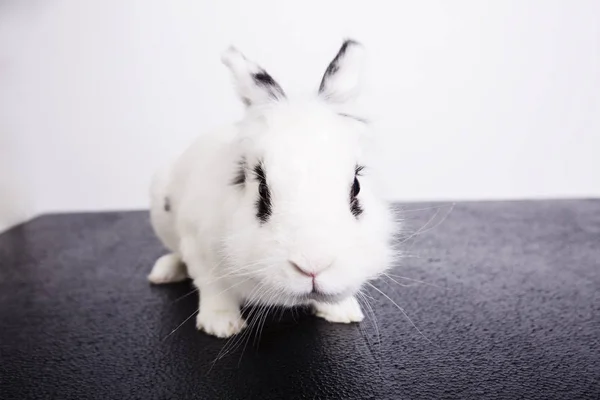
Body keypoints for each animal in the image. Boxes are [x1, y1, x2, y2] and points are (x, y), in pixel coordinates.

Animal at [148, 39, 396, 338]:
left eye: (356, 188)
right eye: (261, 190)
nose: (312, 266)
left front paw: (343, 313)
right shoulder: (196, 242)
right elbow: (212, 287)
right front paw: (221, 325)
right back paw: (163, 273)